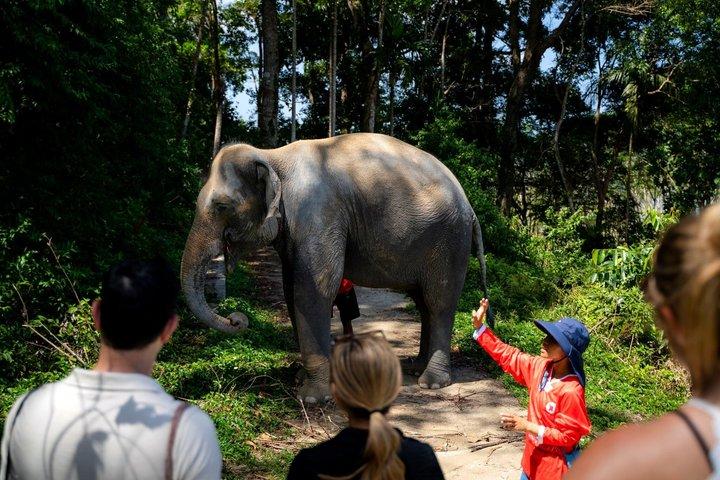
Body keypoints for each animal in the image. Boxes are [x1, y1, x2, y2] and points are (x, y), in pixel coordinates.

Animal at [180, 133, 490, 403]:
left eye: (221, 206)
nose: (237, 319)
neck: (272, 155)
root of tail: (470, 207)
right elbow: (291, 291)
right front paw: (300, 379)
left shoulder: (317, 214)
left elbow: (313, 289)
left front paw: (312, 398)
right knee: (423, 302)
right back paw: (415, 368)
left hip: (449, 242)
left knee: (439, 302)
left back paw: (432, 382)